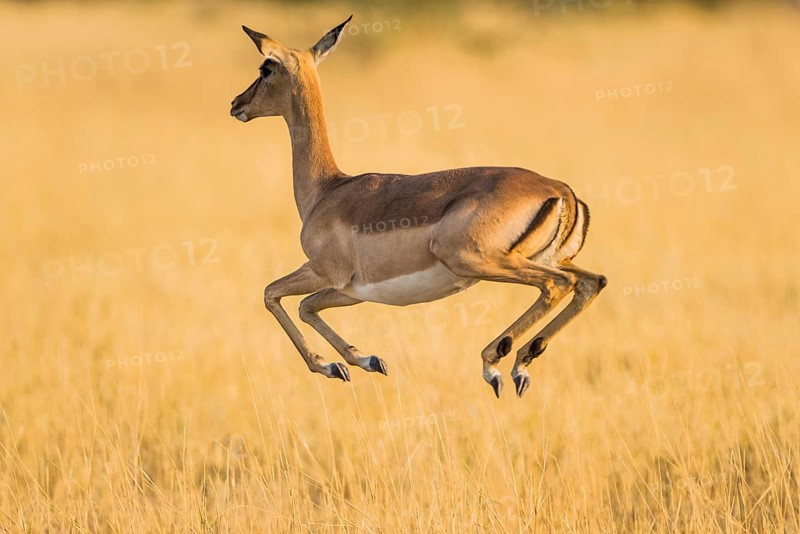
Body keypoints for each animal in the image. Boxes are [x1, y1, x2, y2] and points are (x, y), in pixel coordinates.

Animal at [230, 16, 607, 398]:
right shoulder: (353, 292)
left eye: (266, 68)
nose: (236, 103)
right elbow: (306, 306)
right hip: (542, 259)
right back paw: (521, 364)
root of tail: (560, 190)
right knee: (590, 282)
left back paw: (495, 364)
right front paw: (363, 361)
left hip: (479, 260)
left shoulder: (323, 272)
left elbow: (274, 294)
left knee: (557, 284)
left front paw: (333, 365)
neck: (328, 190)